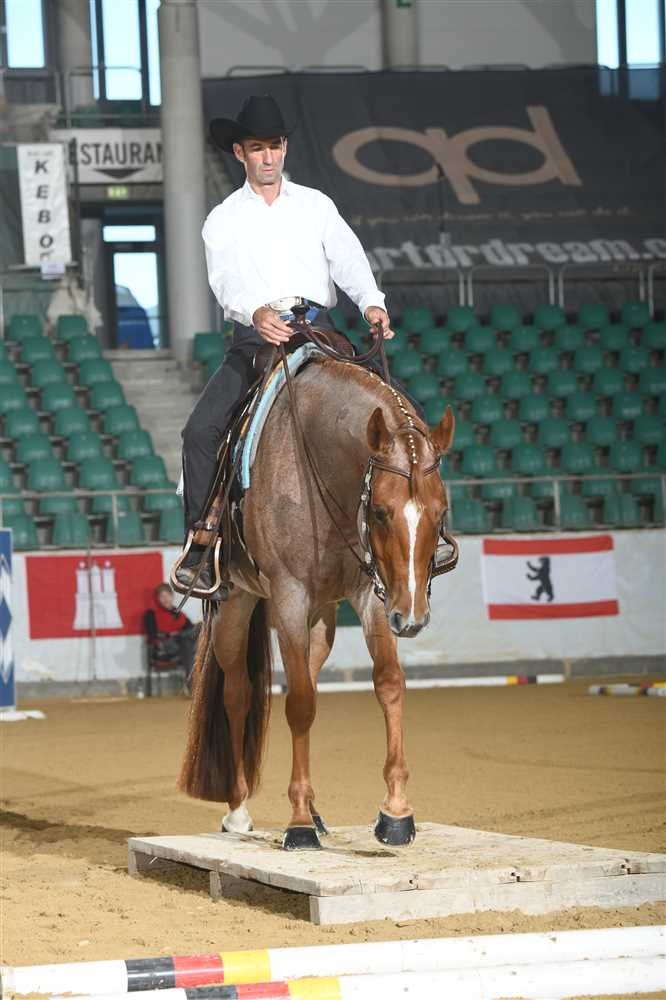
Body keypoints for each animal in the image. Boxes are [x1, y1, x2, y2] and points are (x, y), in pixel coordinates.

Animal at [179, 354, 456, 849]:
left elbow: (388, 683)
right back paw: (239, 810)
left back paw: (314, 810)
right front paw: (298, 825)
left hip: (323, 618)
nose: (412, 618)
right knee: (238, 694)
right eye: (380, 511)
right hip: (237, 604)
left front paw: (396, 813)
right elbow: (300, 705)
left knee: (301, 677)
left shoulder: (371, 595)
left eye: (440, 512)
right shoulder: (289, 596)